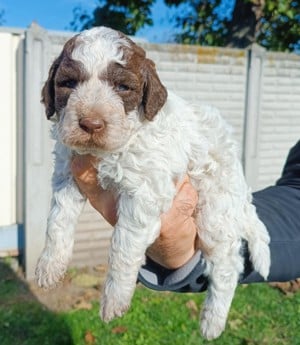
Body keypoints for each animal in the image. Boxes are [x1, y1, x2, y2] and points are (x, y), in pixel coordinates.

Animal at [36, 26, 270, 338]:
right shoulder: (68, 174)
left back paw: (213, 321)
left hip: (215, 207)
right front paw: (50, 266)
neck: (110, 149)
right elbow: (58, 222)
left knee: (227, 265)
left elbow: (122, 245)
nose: (91, 124)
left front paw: (114, 298)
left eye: (123, 88)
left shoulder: (143, 192)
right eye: (68, 83)